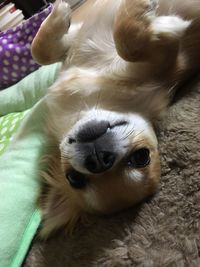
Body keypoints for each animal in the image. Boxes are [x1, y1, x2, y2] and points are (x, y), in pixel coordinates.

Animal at [30, 0, 200, 239]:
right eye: (74, 178)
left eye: (141, 156)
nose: (99, 160)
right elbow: (128, 42)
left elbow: (41, 51)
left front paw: (57, 13)